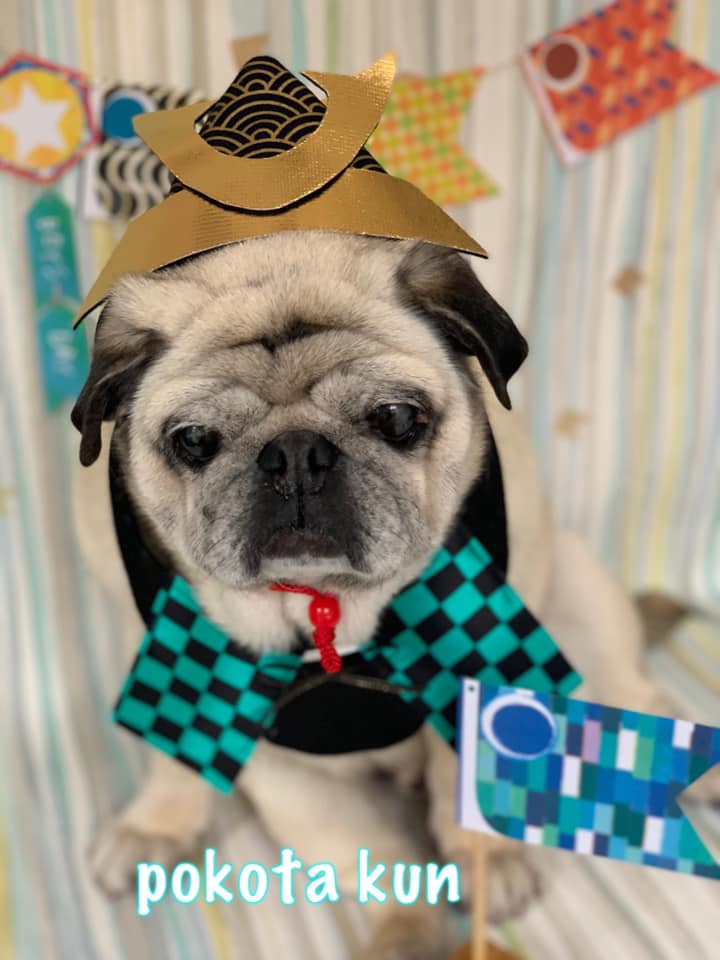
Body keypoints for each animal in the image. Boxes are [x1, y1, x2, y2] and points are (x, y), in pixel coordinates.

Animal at [72, 231, 670, 958]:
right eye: (193, 440)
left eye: (397, 417)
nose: (295, 454)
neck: (323, 605)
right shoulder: (246, 727)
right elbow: (374, 857)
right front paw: (404, 933)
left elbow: (472, 780)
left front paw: (489, 863)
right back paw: (156, 824)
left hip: (579, 593)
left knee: (637, 697)